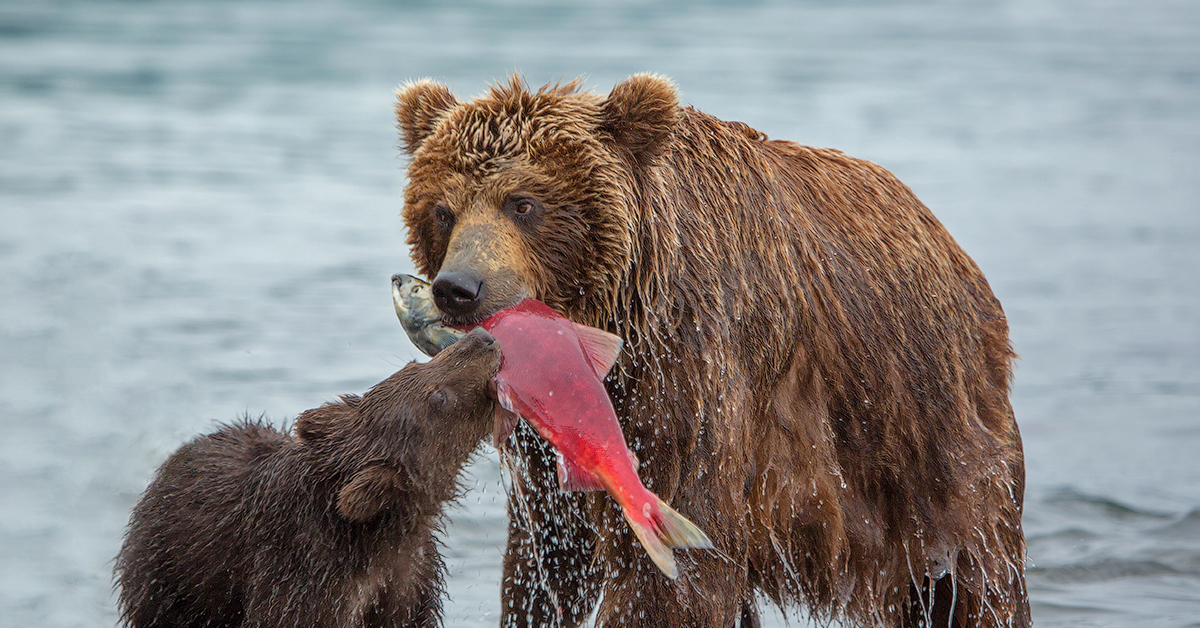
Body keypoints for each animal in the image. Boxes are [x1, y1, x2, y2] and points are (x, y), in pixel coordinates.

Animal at [396, 75, 1032, 628]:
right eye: (443, 210)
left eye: (523, 203)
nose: (459, 288)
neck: (625, 313)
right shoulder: (555, 444)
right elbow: (545, 565)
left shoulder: (691, 373)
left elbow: (674, 578)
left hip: (923, 432)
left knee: (980, 575)